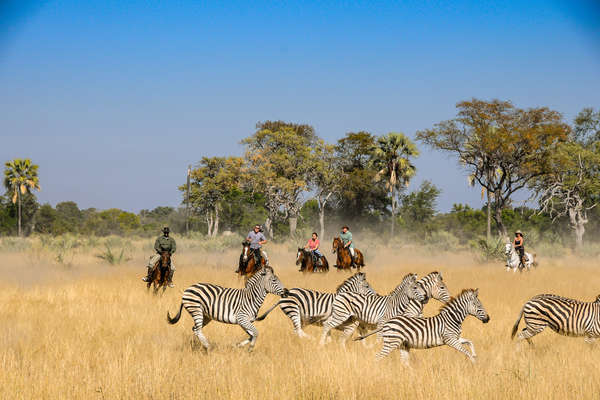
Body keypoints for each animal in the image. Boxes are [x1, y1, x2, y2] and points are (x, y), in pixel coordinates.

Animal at [354, 290, 490, 364]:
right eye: (479, 306)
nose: (488, 319)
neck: (452, 318)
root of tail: (387, 323)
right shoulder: (449, 339)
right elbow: (465, 351)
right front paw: (474, 363)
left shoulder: (456, 337)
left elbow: (470, 342)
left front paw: (475, 355)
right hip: (391, 343)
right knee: (377, 357)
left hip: (402, 344)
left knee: (404, 362)